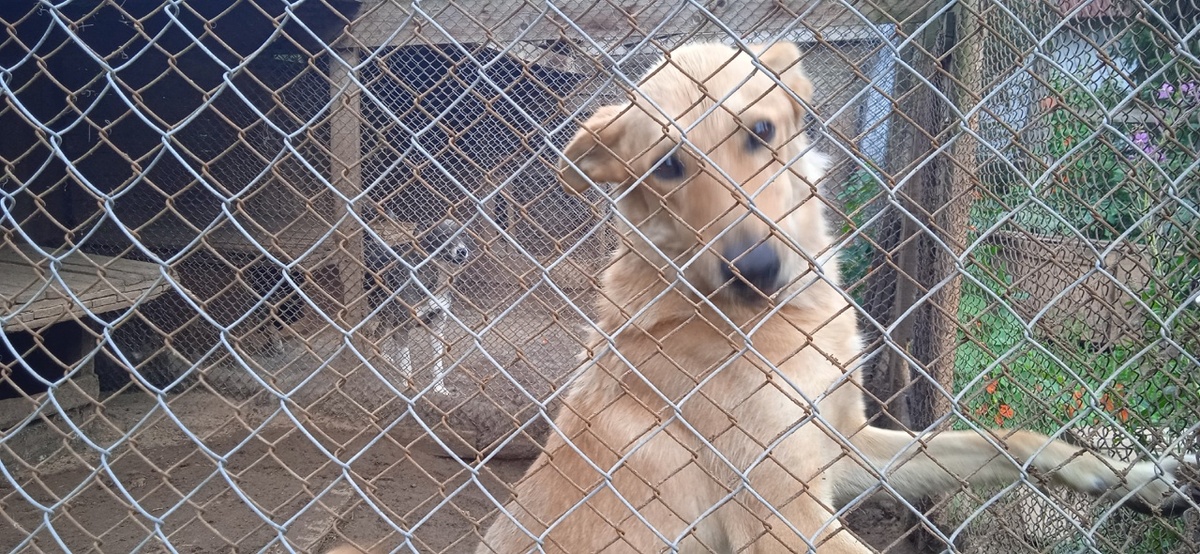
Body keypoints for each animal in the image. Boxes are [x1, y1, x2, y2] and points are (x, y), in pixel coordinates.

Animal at [365, 218, 475, 394]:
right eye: (443, 237)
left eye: (463, 234)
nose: (462, 251)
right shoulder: (402, 327)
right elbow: (407, 363)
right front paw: (407, 387)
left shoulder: (437, 327)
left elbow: (438, 365)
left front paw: (439, 389)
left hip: (387, 317)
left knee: (378, 335)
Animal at [472, 42, 1198, 553]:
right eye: (668, 165)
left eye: (761, 131)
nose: (756, 270)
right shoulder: (785, 521)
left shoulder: (848, 449)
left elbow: (1001, 437)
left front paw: (1119, 476)